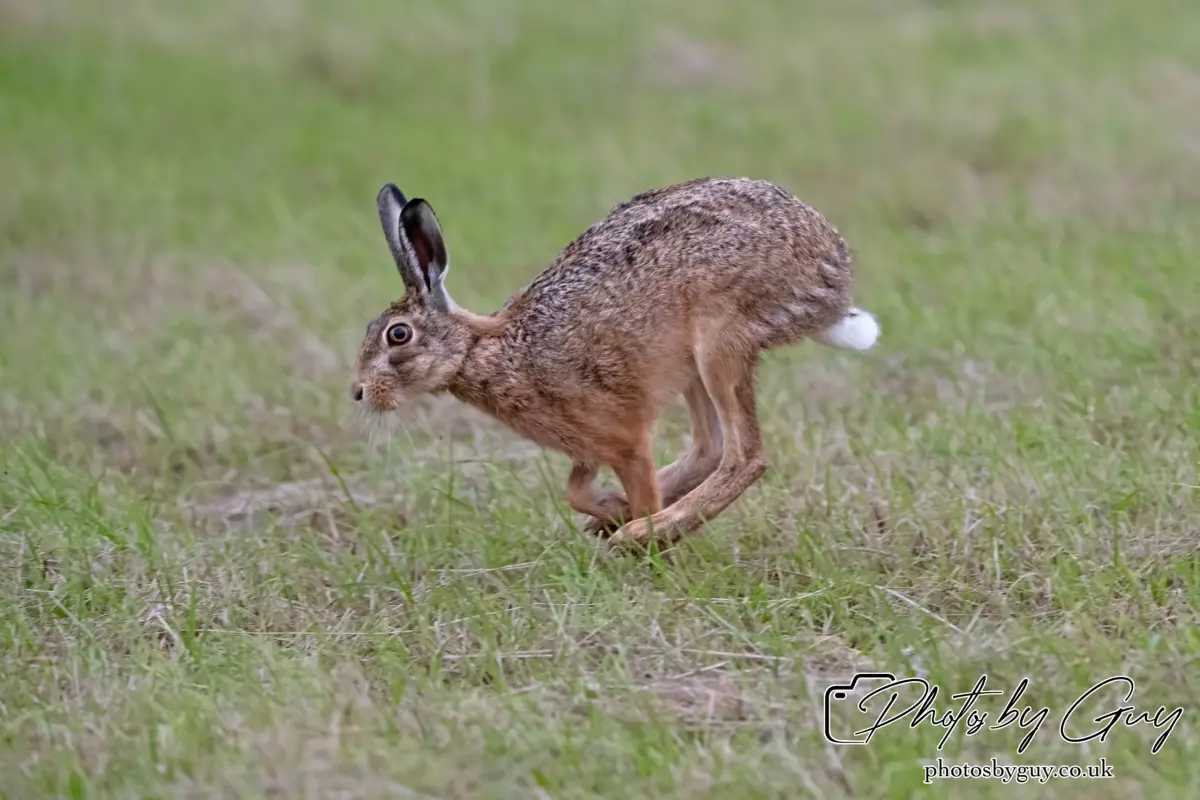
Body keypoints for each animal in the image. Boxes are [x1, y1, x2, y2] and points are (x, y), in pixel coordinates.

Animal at [352, 177, 879, 548]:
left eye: (398, 334)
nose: (358, 392)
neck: (486, 348)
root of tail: (833, 276)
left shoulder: (623, 439)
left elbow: (633, 478)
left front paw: (645, 545)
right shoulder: (588, 446)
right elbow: (575, 490)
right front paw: (610, 509)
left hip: (718, 337)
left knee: (744, 457)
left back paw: (644, 532)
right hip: (692, 362)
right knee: (709, 446)